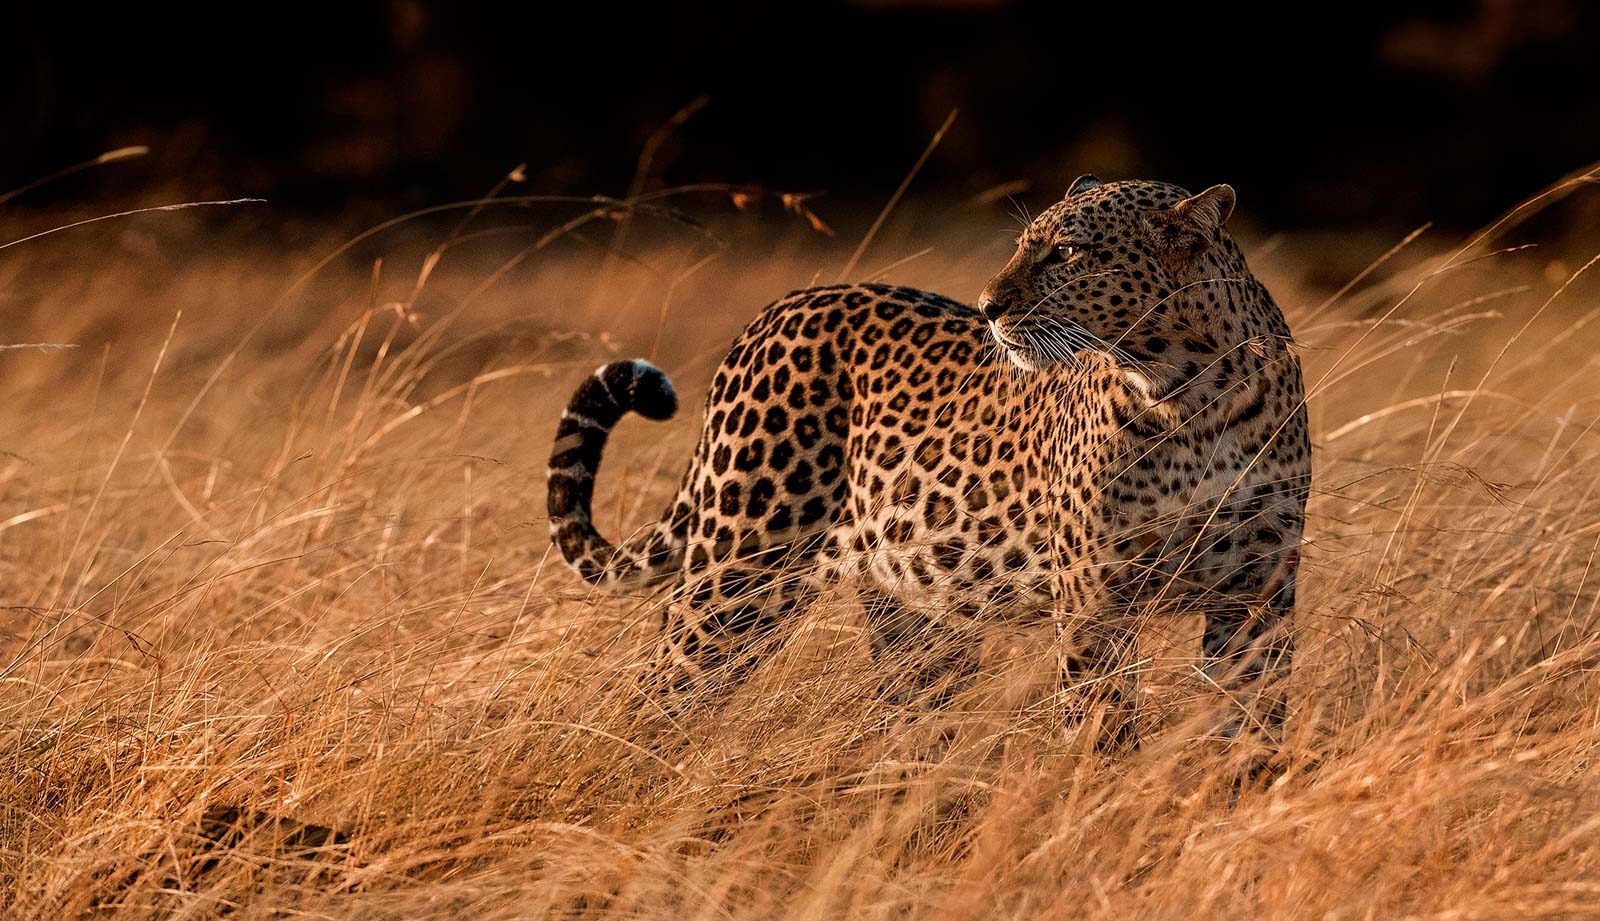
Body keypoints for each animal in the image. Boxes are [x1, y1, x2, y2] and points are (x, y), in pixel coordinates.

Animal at [546, 176, 1310, 747]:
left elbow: (1252, 723)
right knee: (661, 690)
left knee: (908, 724)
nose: (988, 307)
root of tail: (780, 307)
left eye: (1066, 252)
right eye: (1025, 246)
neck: (1189, 394)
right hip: (738, 569)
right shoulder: (1093, 598)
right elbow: (1101, 726)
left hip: (915, 611)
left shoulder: (1258, 592)